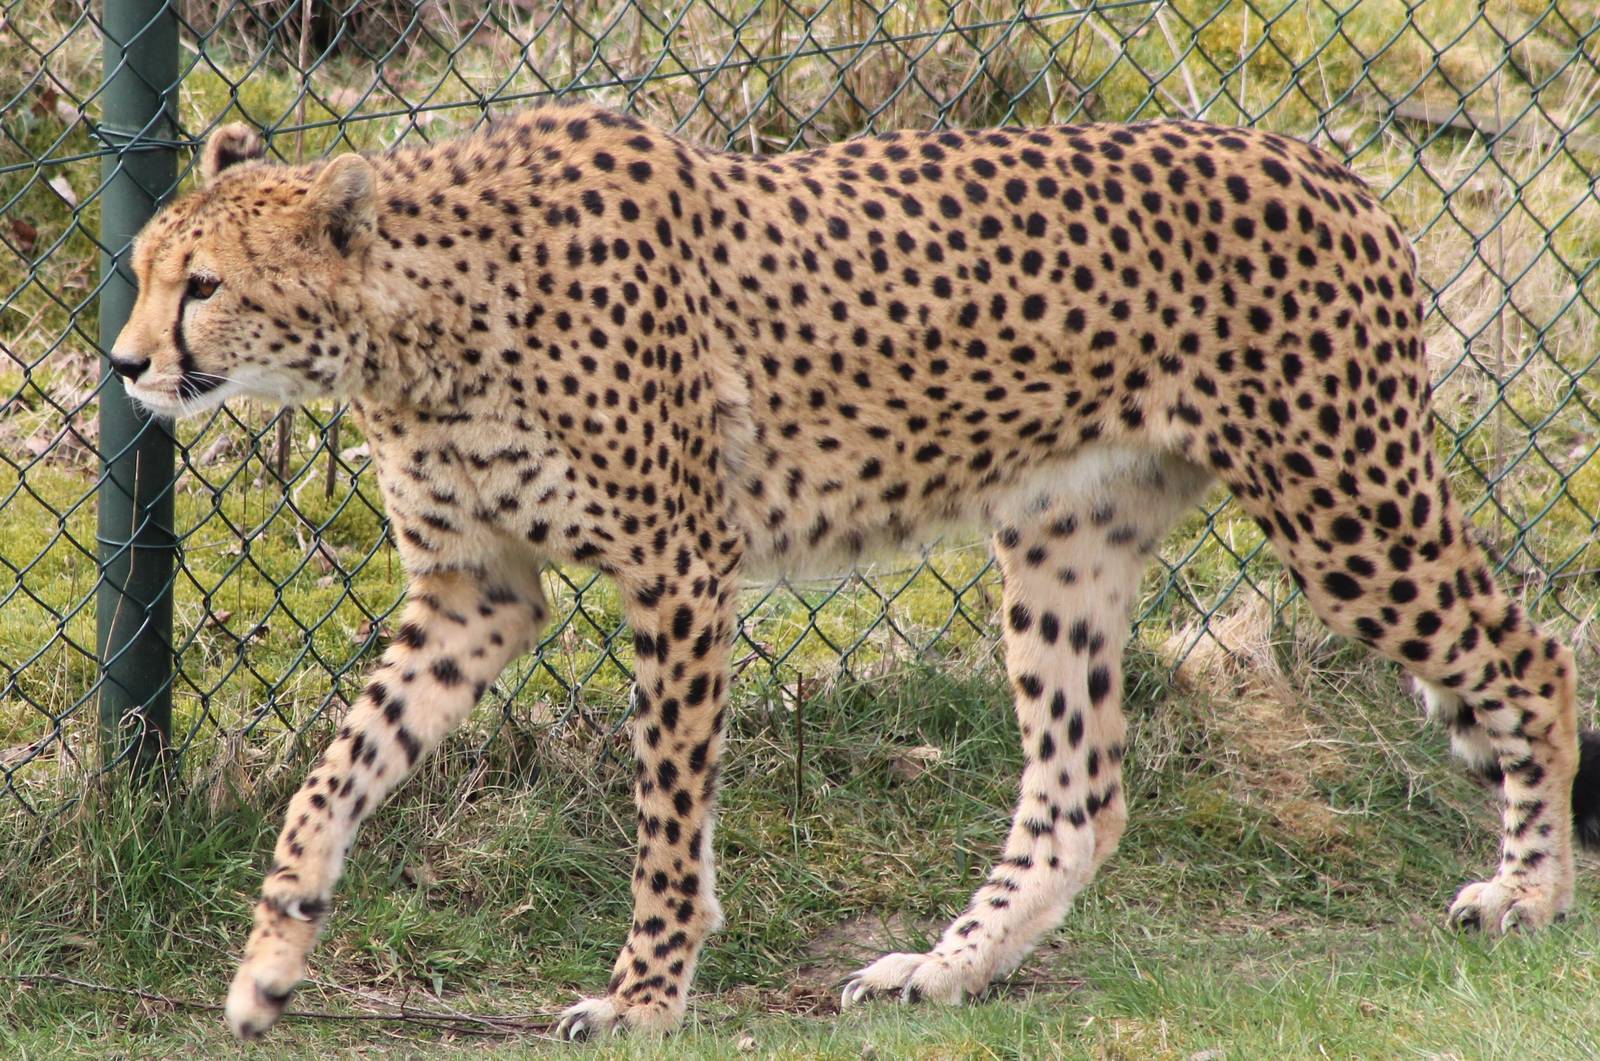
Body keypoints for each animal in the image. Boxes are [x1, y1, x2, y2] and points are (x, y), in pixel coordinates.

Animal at [109, 102, 1600, 1042]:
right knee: (1080, 789)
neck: (415, 325)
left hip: (1343, 497)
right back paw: (943, 970)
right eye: (139, 270)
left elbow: (663, 810)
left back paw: (1530, 891)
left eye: (203, 285)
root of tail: (1324, 161)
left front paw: (646, 993)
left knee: (1529, 656)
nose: (126, 364)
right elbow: (334, 773)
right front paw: (269, 964)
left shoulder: (678, 568)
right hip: (1060, 532)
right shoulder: (479, 593)